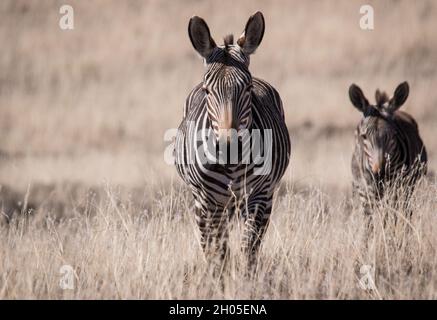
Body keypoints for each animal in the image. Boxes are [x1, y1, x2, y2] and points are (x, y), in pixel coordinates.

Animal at [174, 11, 290, 270]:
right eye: (207, 91)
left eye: (247, 88)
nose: (229, 146)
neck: (232, 166)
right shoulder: (209, 202)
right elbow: (219, 253)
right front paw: (221, 278)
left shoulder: (258, 196)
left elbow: (248, 249)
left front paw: (247, 278)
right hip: (204, 203)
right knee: (209, 243)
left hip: (264, 197)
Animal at [348, 82, 426, 218]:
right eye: (364, 136)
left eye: (394, 135)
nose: (379, 174)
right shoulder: (364, 192)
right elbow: (369, 221)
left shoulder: (398, 188)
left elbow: (390, 217)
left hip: (407, 189)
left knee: (405, 211)